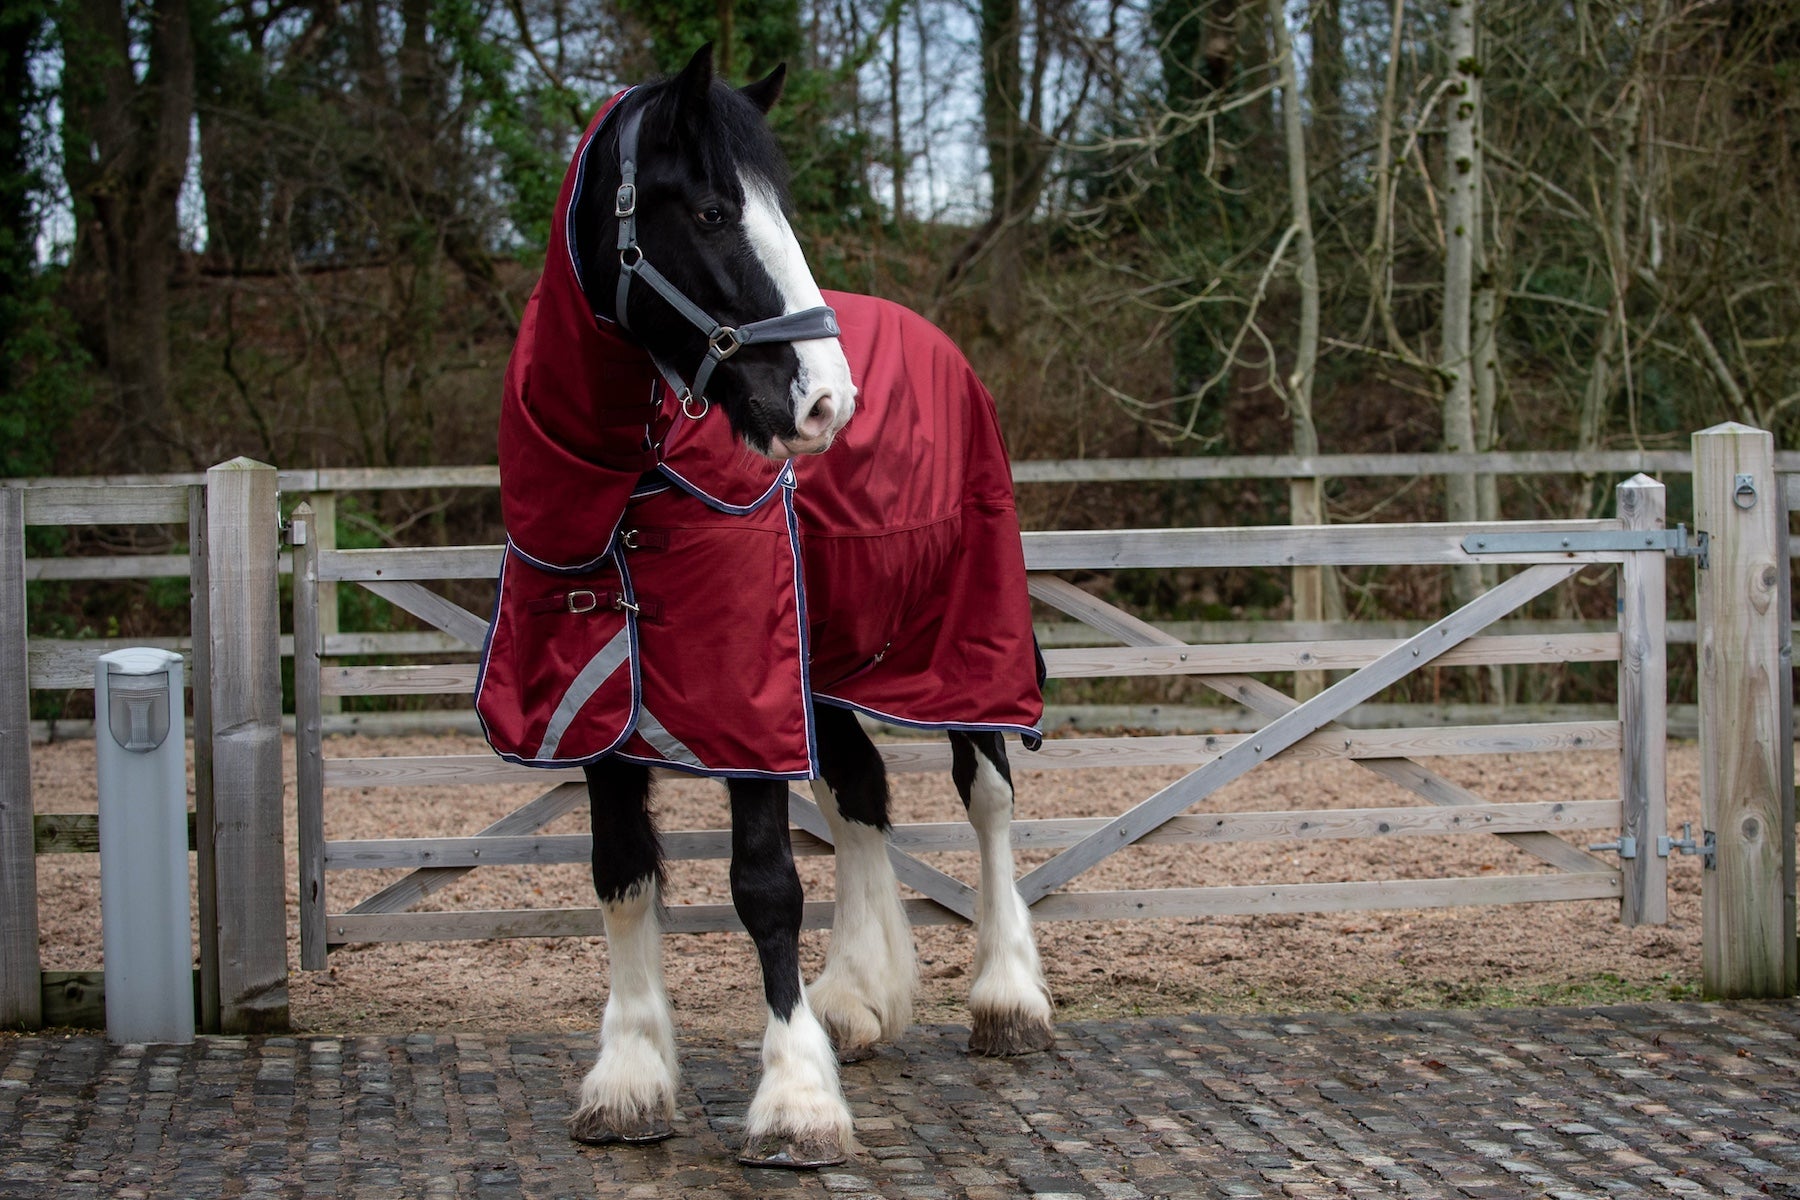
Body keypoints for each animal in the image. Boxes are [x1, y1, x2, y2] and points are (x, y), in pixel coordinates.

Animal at [471, 49, 1051, 1173]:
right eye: (707, 210)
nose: (828, 401)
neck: (625, 493)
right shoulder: (601, 708)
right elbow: (621, 872)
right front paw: (630, 1077)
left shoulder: (746, 701)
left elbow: (765, 884)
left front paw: (795, 1100)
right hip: (825, 669)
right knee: (859, 790)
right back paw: (860, 1001)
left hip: (966, 644)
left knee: (988, 794)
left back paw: (1009, 999)